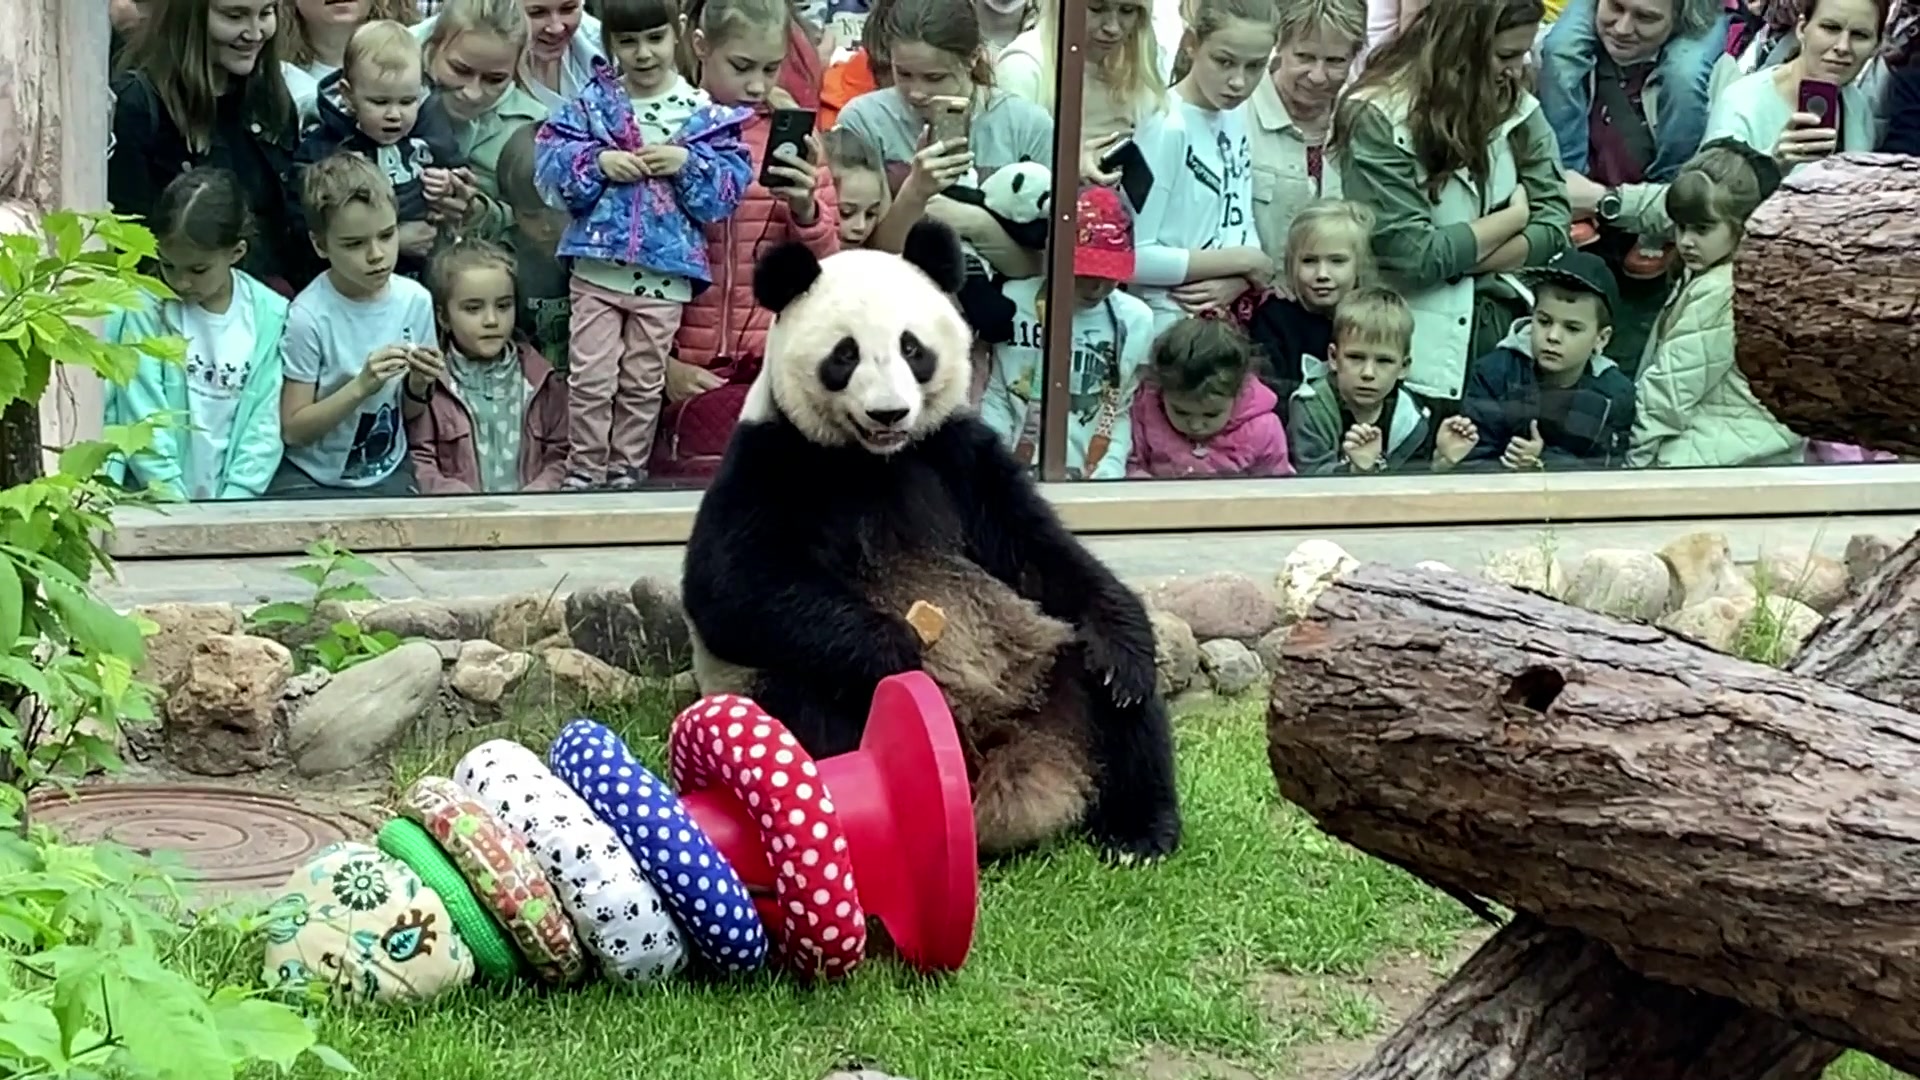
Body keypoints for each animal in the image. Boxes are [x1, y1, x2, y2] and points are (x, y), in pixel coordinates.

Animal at [675, 219, 1182, 857]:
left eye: (912, 348)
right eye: (845, 355)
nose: (889, 413)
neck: (875, 460)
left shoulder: (955, 455)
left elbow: (1040, 552)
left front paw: (1123, 637)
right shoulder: (772, 461)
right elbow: (732, 586)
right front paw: (899, 648)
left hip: (1050, 662)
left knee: (1125, 713)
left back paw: (1138, 829)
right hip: (777, 679)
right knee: (810, 698)